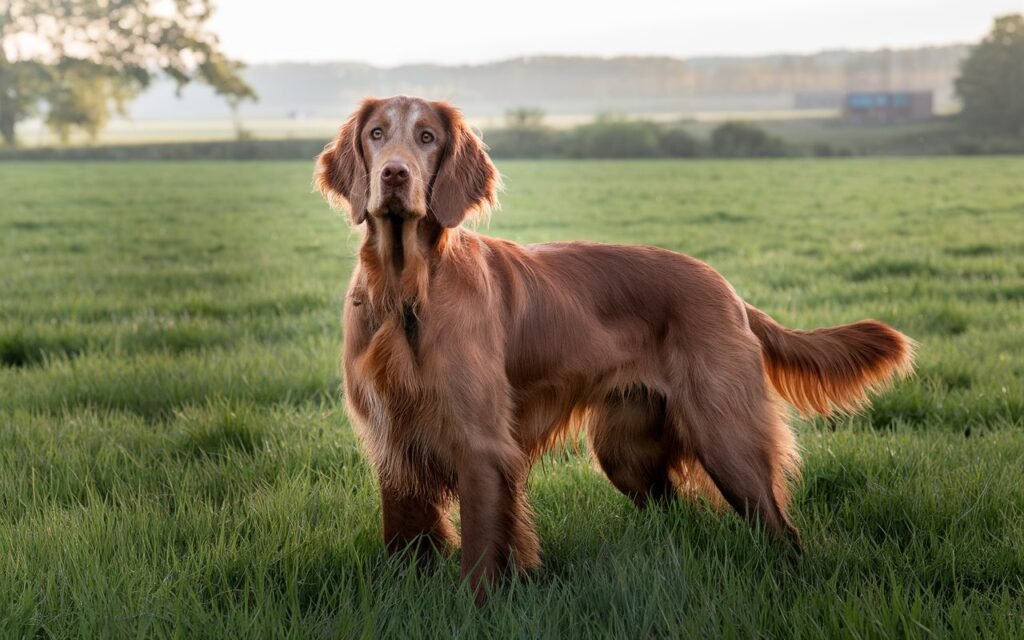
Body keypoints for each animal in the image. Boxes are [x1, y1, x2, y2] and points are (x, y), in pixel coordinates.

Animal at [311, 93, 913, 598]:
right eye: (377, 134)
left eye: (427, 137)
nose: (393, 175)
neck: (405, 292)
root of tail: (729, 290)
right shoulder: (393, 439)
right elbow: (403, 537)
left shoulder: (480, 445)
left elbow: (482, 554)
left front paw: (474, 608)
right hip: (626, 451)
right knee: (678, 508)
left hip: (727, 437)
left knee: (780, 528)